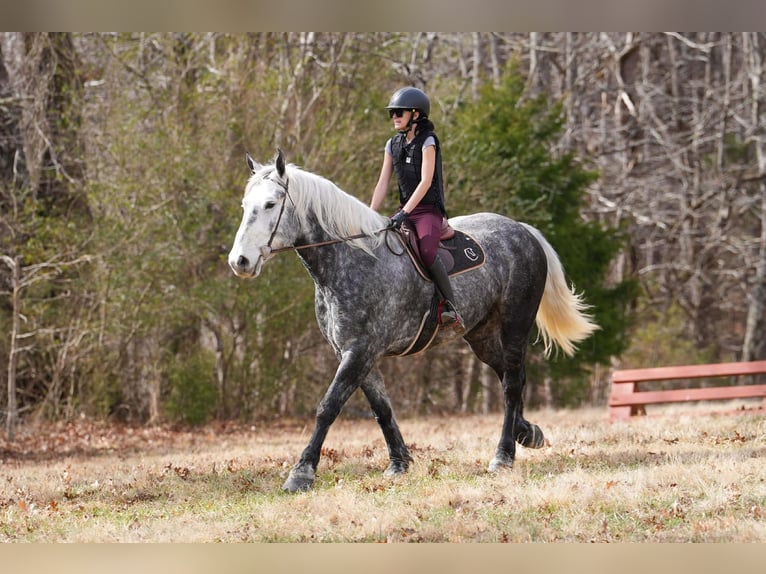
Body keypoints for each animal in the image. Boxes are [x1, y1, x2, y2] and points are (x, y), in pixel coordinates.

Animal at [228, 150, 598, 493]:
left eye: (271, 204)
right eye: (246, 205)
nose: (239, 261)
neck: (351, 261)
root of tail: (522, 230)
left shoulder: (360, 351)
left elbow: (328, 407)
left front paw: (301, 473)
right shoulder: (354, 353)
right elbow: (382, 408)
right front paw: (399, 463)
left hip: (515, 323)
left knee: (510, 384)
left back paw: (503, 455)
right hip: (481, 334)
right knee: (511, 376)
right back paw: (527, 432)